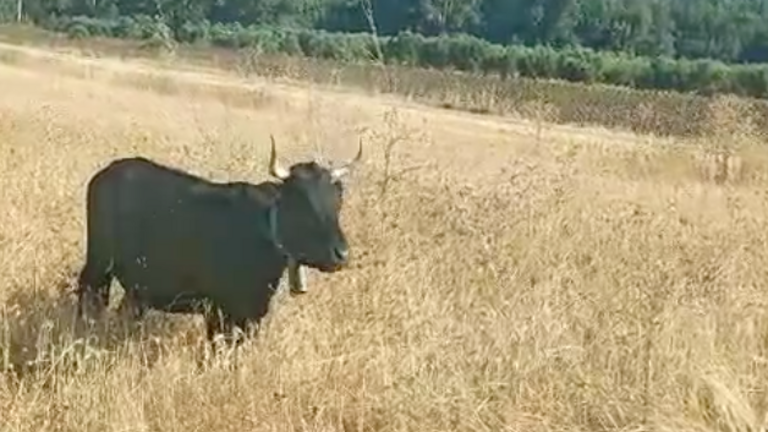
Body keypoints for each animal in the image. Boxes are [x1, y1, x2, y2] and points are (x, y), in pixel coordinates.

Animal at [76, 135, 362, 345]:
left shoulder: (251, 315)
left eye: (337, 201)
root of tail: (108, 171)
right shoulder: (216, 311)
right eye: (302, 203)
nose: (341, 254)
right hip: (98, 264)